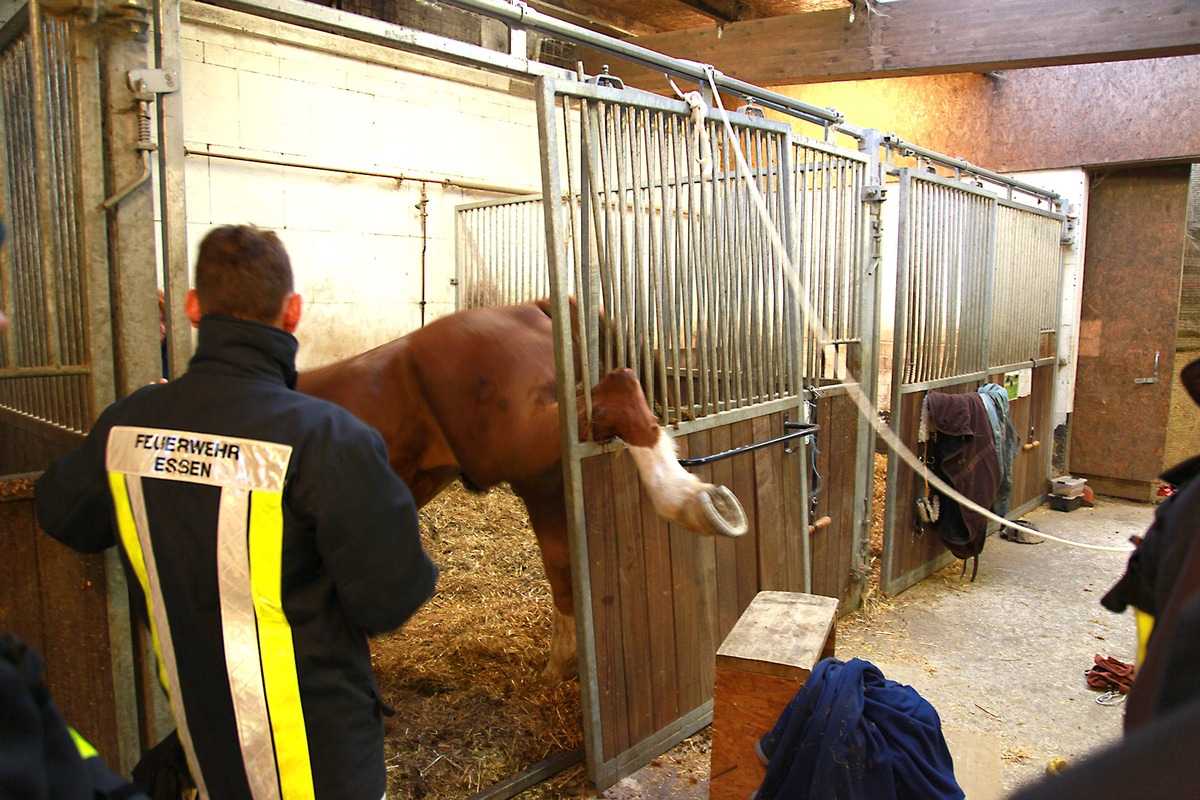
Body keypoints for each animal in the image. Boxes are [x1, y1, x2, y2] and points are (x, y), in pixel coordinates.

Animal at [296, 299, 744, 681]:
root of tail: (528, 307)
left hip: (511, 446)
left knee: (619, 388)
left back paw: (687, 499)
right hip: (541, 477)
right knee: (563, 565)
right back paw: (563, 664)